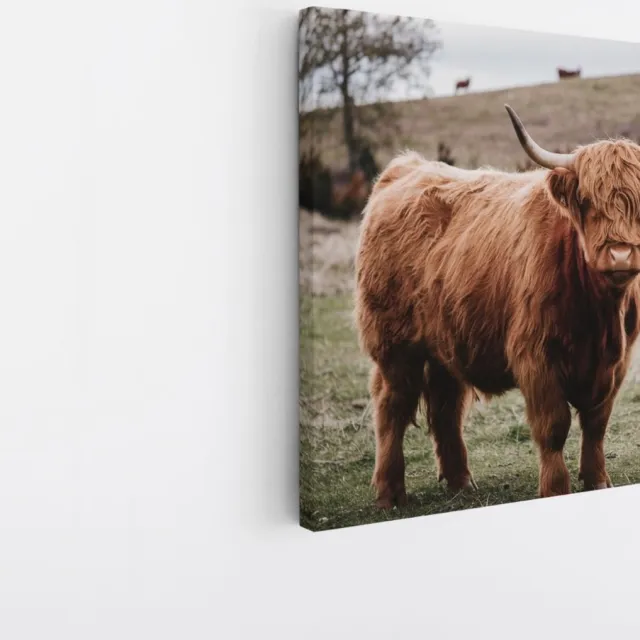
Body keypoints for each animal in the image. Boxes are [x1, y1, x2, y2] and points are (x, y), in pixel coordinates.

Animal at [355, 104, 640, 508]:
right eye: (588, 203)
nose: (620, 255)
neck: (598, 315)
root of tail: (405, 167)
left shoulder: (617, 362)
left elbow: (596, 424)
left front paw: (598, 480)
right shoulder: (536, 357)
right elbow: (554, 427)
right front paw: (555, 488)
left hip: (445, 343)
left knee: (445, 407)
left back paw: (460, 480)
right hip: (395, 347)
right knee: (391, 407)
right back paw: (389, 493)